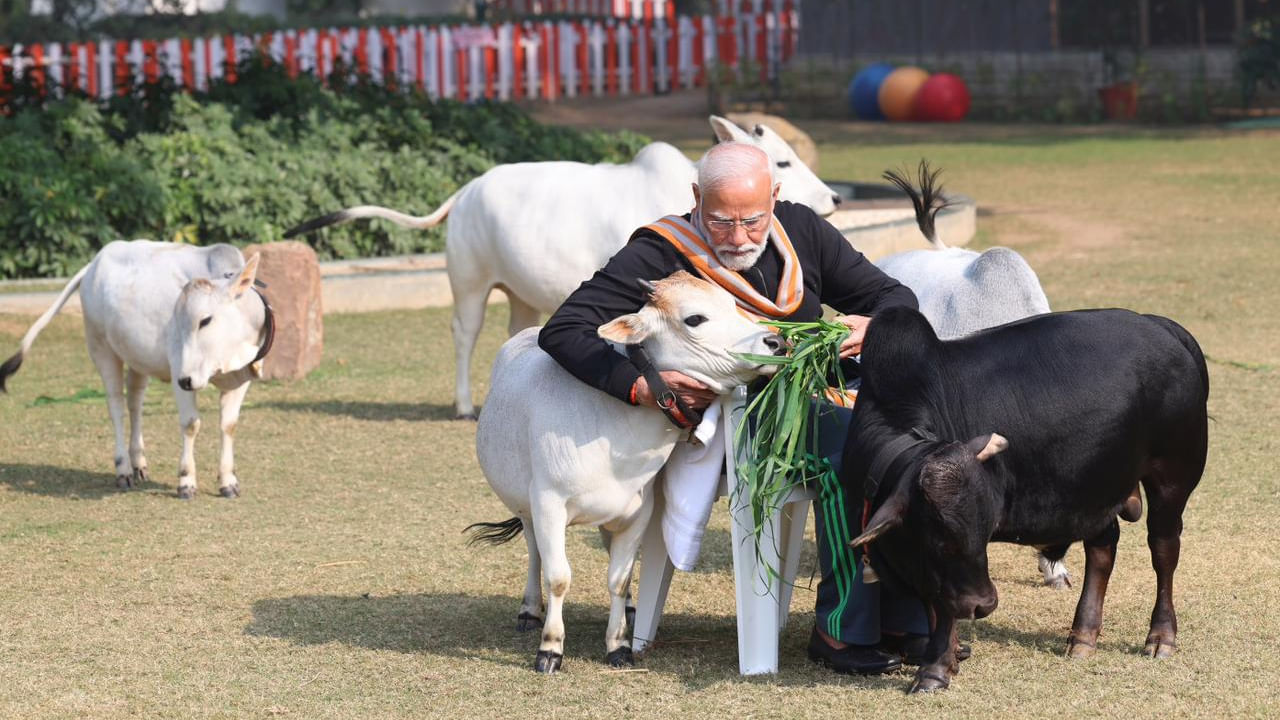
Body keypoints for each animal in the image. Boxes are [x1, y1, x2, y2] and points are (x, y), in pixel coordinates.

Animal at [1, 240, 272, 499]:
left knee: (135, 403)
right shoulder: (179, 371)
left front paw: (228, 481)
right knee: (117, 407)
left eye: (205, 320)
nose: (185, 381)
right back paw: (123, 469)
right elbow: (190, 424)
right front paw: (186, 482)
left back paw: (138, 462)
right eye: (177, 319)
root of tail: (93, 264)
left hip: (138, 359)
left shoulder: (240, 379)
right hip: (101, 348)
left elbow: (229, 425)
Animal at [282, 111, 839, 415]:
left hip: (519, 294)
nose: (834, 197)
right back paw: (463, 405)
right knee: (463, 334)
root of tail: (467, 189)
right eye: (782, 160)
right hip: (469, 283)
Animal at [844, 304, 1203, 691]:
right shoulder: (925, 565)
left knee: (1164, 551)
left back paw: (1161, 636)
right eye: (940, 539)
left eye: (983, 532)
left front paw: (935, 669)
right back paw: (1083, 636)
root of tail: (1158, 323)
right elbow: (936, 602)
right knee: (1102, 550)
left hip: (1172, 480)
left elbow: (945, 608)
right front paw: (948, 657)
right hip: (1097, 488)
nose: (984, 605)